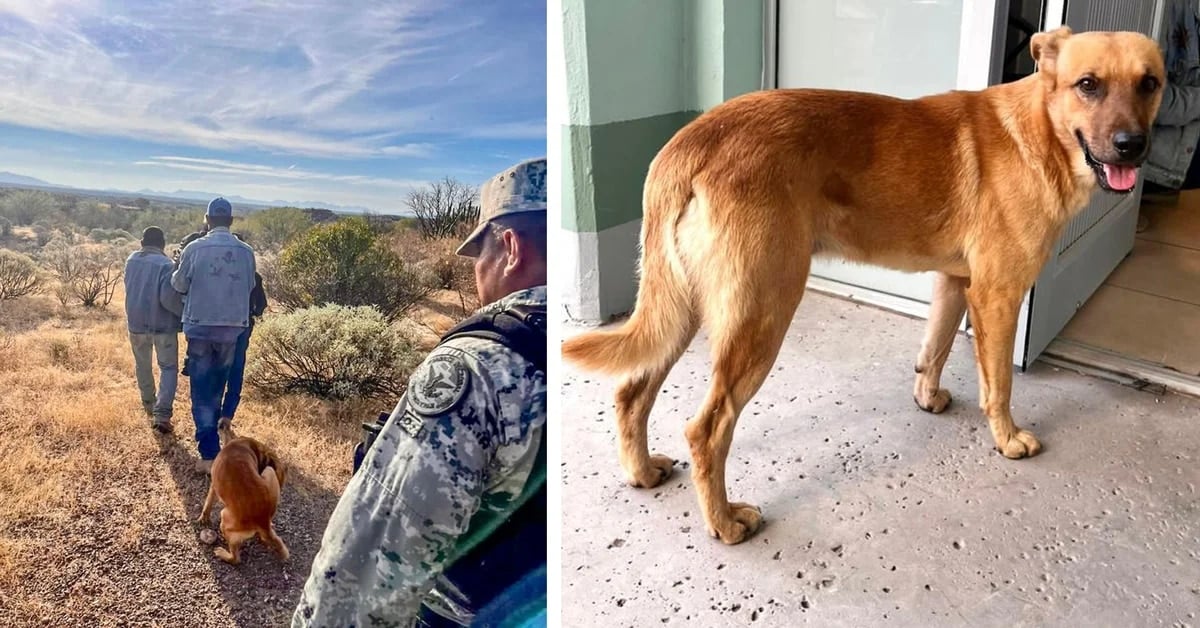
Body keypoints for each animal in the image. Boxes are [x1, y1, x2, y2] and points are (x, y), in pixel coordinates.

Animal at [199, 427, 290, 564]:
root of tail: (262, 521)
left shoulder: (214, 486)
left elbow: (207, 505)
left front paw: (204, 519)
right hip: (269, 472)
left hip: (224, 520)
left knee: (235, 559)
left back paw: (224, 554)